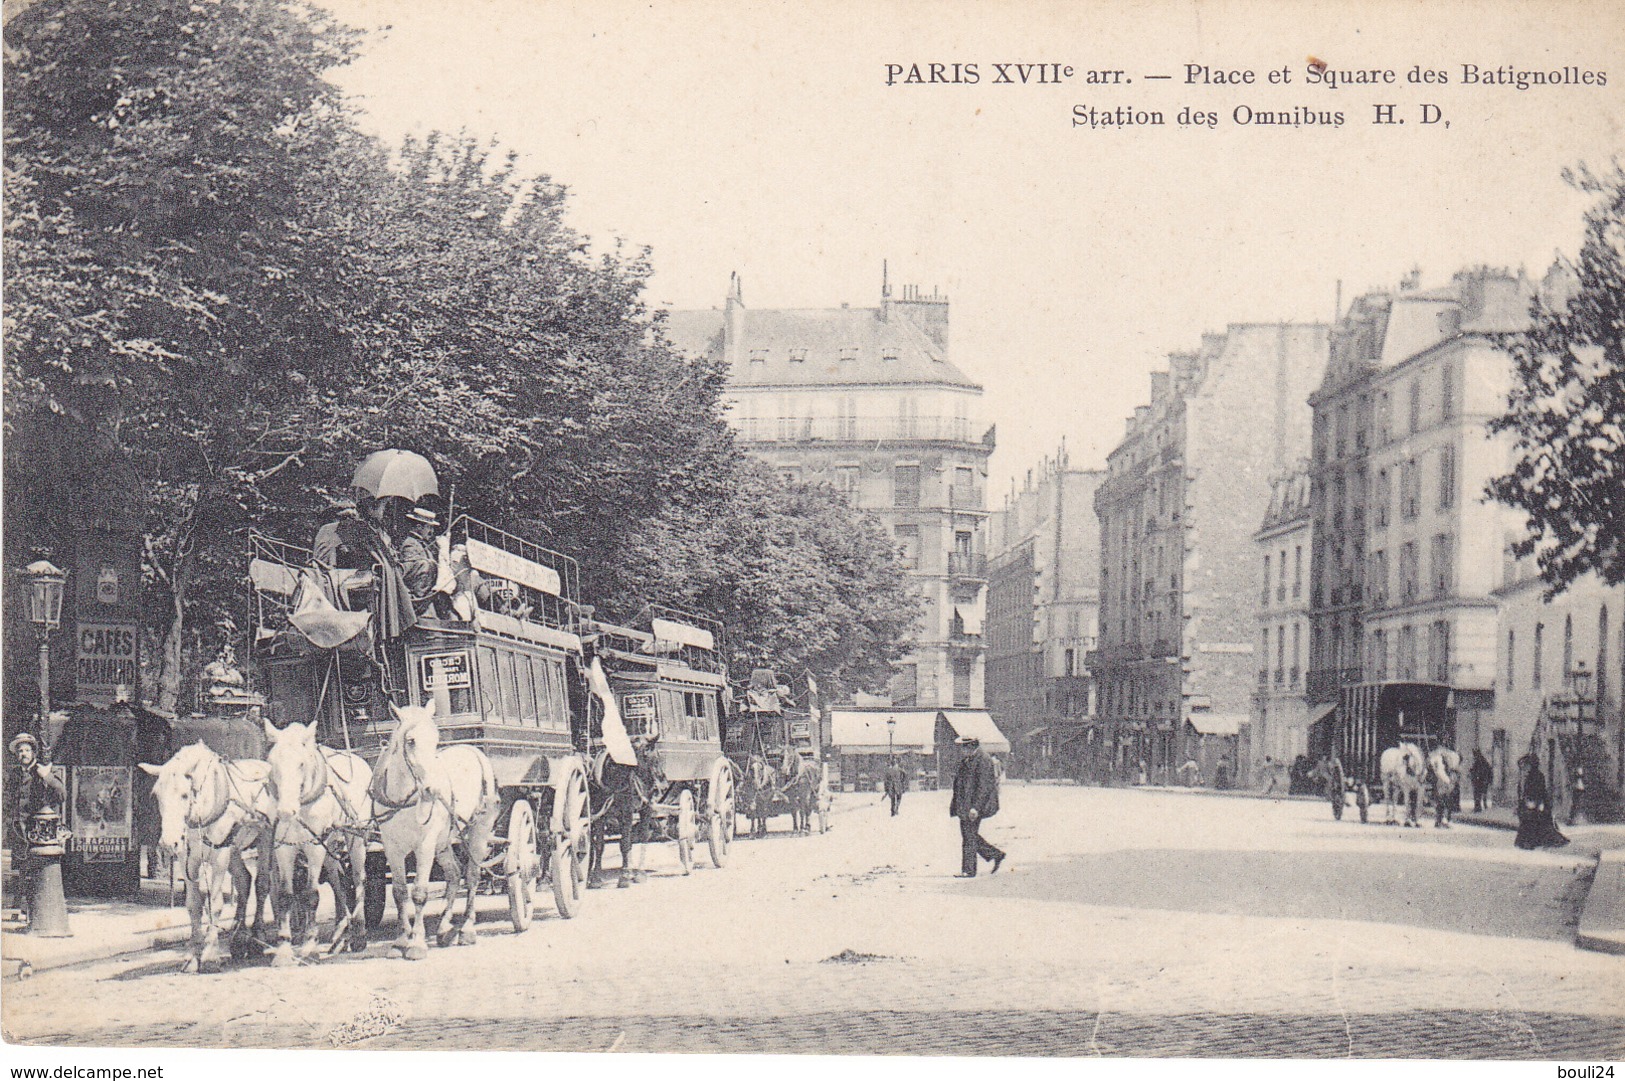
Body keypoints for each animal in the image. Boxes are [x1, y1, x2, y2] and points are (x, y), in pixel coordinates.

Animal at [139, 741, 273, 968]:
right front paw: (193, 954)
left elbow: (215, 903)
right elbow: (193, 905)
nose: (168, 843)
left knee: (262, 884)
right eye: (157, 795)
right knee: (244, 881)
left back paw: (258, 935)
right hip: (233, 848)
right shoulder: (187, 858)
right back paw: (239, 939)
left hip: (264, 840)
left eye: (184, 795)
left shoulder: (218, 857)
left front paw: (210, 952)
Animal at [261, 715, 372, 962]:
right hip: (330, 845)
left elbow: (311, 894)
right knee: (339, 883)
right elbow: (285, 895)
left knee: (359, 879)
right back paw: (342, 933)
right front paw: (284, 948)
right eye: (272, 763)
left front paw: (309, 946)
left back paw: (359, 933)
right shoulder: (283, 847)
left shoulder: (314, 847)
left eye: (301, 764)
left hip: (355, 837)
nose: (286, 811)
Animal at [372, 695, 497, 955]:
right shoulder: (391, 847)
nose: (432, 790)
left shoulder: (424, 845)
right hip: (443, 842)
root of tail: (473, 750)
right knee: (454, 874)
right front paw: (401, 939)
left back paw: (467, 928)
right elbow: (399, 892)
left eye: (436, 740)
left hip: (478, 832)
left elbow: (420, 893)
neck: (404, 800)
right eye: (410, 741)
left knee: (472, 875)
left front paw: (417, 942)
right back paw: (444, 928)